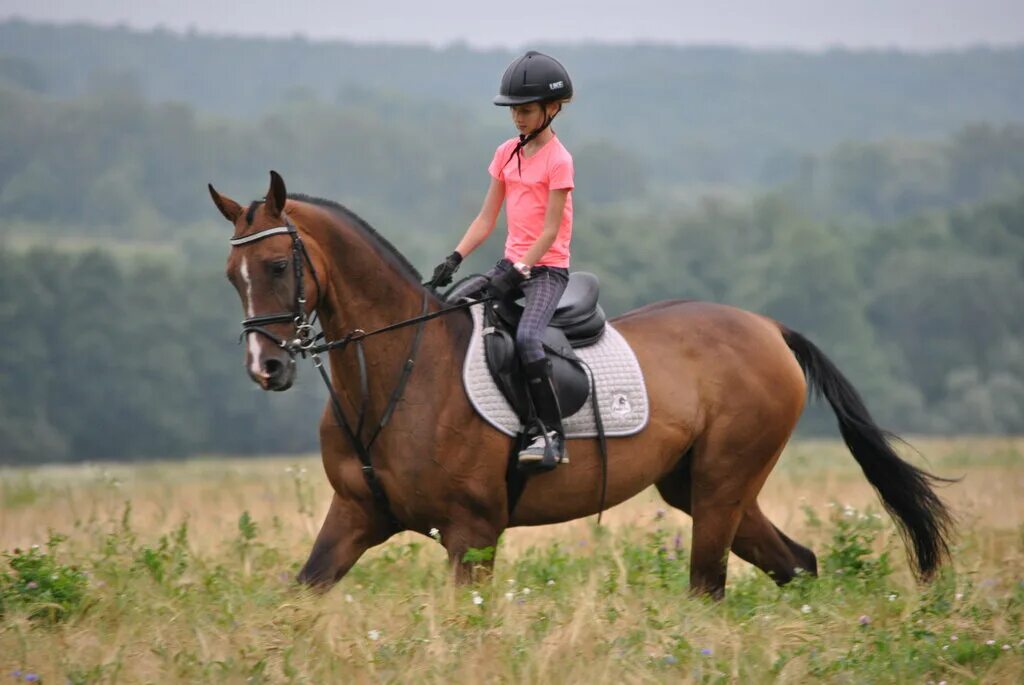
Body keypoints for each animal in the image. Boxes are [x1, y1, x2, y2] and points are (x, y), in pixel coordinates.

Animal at [207, 172, 950, 597]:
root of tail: (768, 327)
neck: (396, 373)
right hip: (701, 486)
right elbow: (300, 594)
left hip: (722, 485)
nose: (265, 367)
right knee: (797, 563)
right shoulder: (356, 516)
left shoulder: (472, 532)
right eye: (231, 275)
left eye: (278, 266)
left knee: (710, 587)